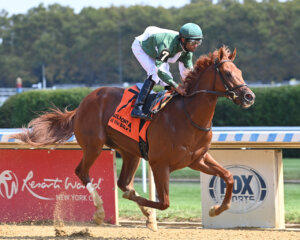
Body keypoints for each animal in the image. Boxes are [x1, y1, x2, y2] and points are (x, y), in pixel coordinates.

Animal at [11, 45, 253, 231]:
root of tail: (82, 104)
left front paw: (216, 209)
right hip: (93, 146)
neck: (188, 114)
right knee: (82, 172)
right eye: (228, 74)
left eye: (241, 71)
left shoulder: (197, 159)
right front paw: (143, 210)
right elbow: (164, 202)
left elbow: (229, 177)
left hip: (130, 152)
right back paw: (100, 211)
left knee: (122, 181)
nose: (249, 96)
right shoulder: (159, 163)